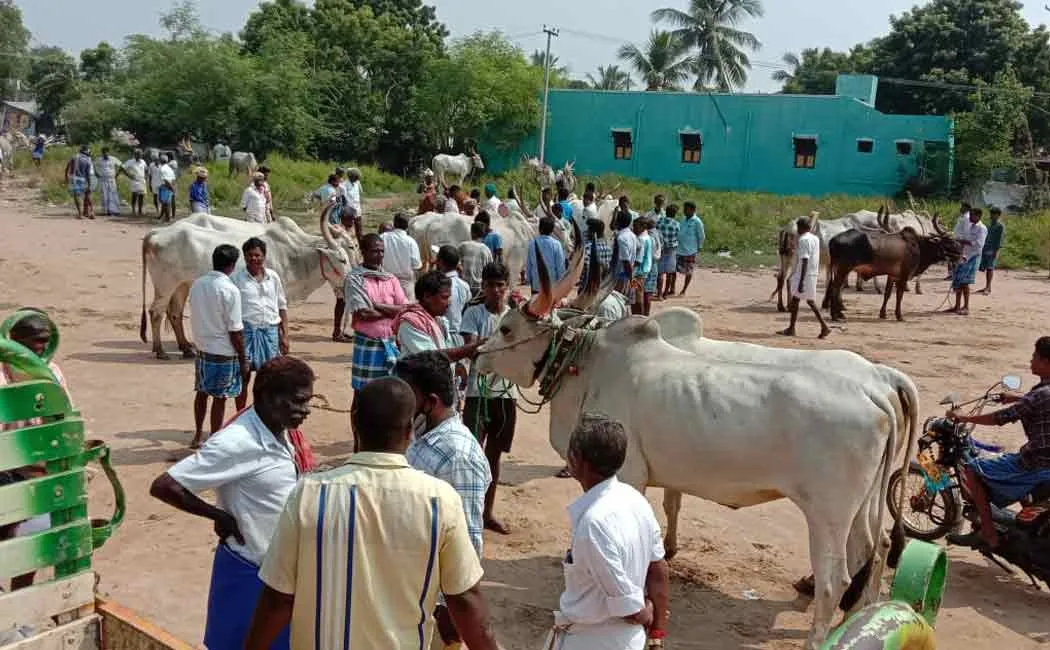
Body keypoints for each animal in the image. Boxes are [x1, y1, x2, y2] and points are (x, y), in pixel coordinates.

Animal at [138, 207, 356, 359]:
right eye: (342, 259)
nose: (350, 281)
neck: (294, 255)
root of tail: (155, 234)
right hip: (165, 285)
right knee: (156, 313)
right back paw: (160, 351)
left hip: (182, 285)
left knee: (174, 313)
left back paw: (186, 348)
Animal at [474, 246, 919, 650]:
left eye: (508, 328)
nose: (477, 354)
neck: (584, 365)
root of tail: (878, 384)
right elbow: (670, 509)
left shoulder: (628, 473)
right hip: (861, 504)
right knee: (873, 549)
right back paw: (858, 620)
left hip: (827, 512)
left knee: (835, 579)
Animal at [824, 213, 962, 322]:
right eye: (949, 243)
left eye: (955, 243)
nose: (962, 256)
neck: (918, 246)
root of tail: (833, 240)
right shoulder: (904, 275)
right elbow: (899, 295)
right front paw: (899, 316)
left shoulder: (892, 275)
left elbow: (887, 294)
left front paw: (883, 314)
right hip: (843, 269)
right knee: (835, 289)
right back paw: (835, 316)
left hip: (838, 269)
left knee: (833, 288)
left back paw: (839, 314)